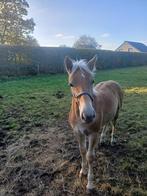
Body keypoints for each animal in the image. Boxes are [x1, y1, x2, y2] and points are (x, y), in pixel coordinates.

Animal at [64, 55, 123, 191]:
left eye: (92, 81)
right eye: (71, 84)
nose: (88, 115)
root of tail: (113, 82)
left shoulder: (93, 133)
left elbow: (90, 156)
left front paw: (90, 183)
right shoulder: (78, 133)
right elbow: (82, 151)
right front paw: (83, 171)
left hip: (116, 113)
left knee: (113, 125)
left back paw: (112, 140)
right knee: (106, 124)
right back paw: (102, 140)